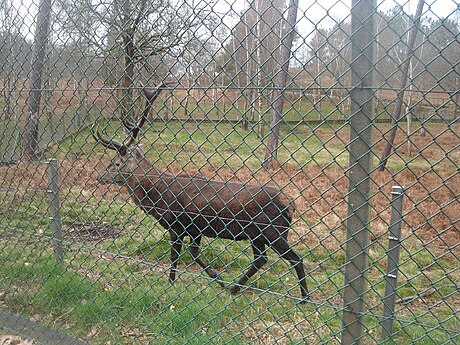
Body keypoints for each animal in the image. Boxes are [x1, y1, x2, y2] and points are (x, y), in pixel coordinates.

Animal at [92, 84, 310, 300]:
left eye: (116, 163)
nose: (99, 176)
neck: (157, 195)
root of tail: (291, 204)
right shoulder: (195, 228)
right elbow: (194, 253)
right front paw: (218, 279)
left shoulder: (177, 225)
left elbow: (175, 255)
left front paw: (171, 283)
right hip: (257, 235)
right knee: (261, 259)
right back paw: (235, 288)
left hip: (273, 232)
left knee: (296, 259)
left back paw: (304, 297)